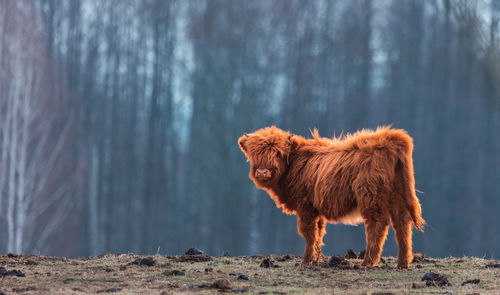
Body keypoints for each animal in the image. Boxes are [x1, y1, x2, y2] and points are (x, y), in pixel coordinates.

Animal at [236, 126, 424, 270]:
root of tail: (389, 139)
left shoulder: (305, 206)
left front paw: (306, 261)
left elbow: (309, 232)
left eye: (277, 153)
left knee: (377, 224)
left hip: (371, 197)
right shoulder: (315, 208)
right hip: (398, 195)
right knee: (402, 224)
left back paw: (368, 262)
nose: (262, 172)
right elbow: (319, 233)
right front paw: (315, 259)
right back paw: (403, 263)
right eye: (253, 153)